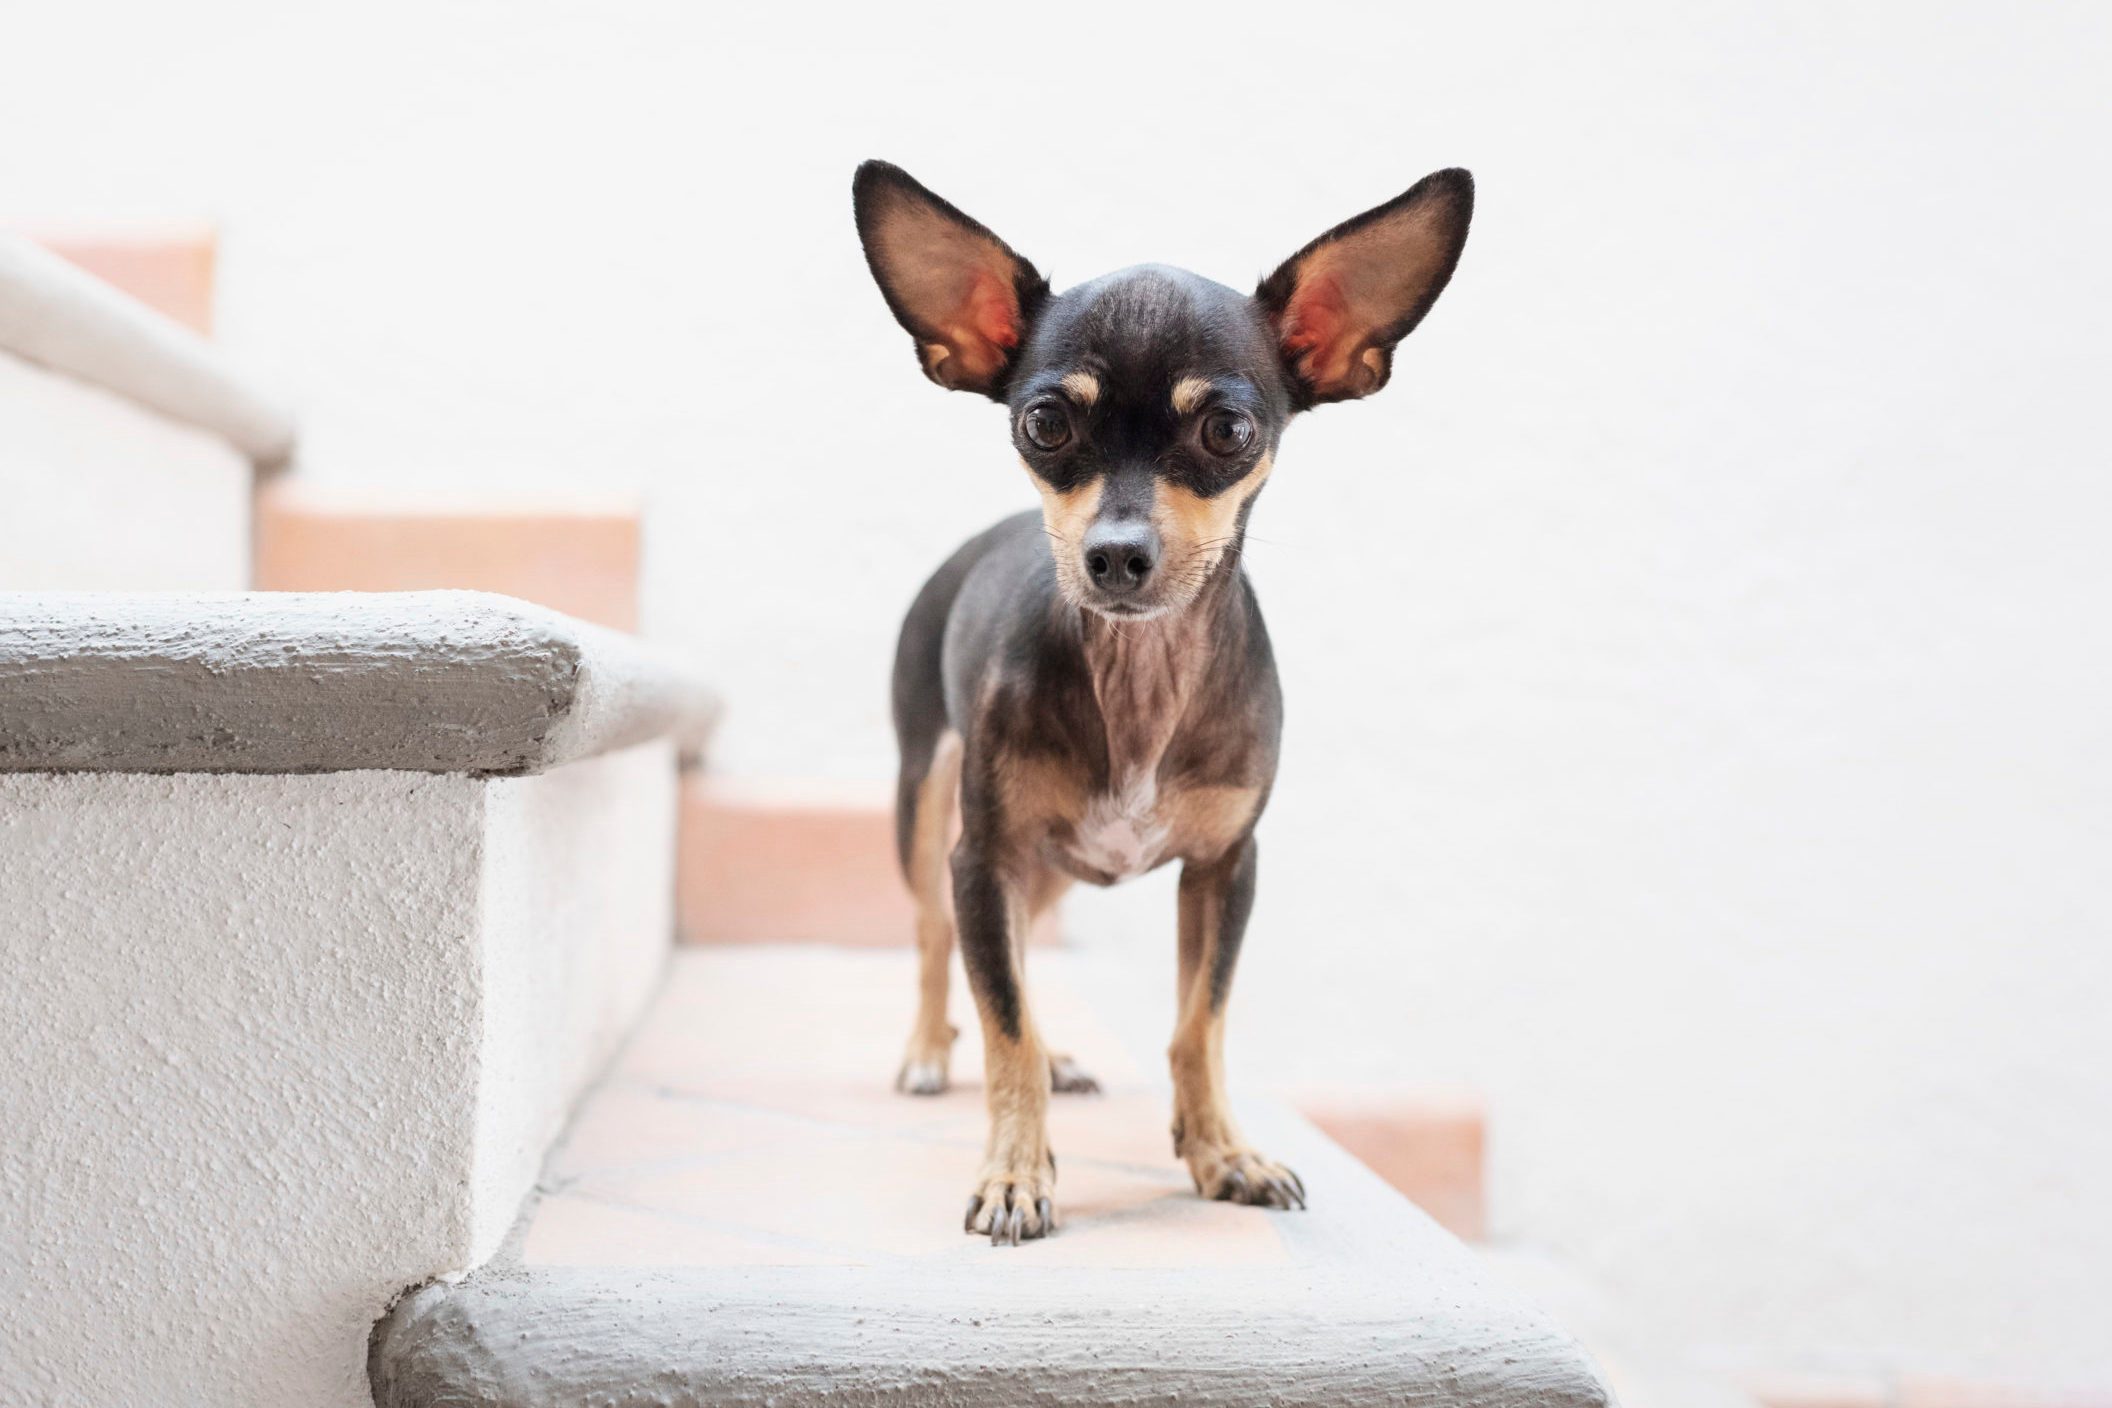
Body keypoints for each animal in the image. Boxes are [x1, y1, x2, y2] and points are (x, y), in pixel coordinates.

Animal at [844, 159, 1469, 1249]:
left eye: (1229, 429)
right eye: (1045, 423)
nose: (1116, 554)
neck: (1140, 674)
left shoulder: (1225, 870)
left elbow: (1195, 1024)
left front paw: (1223, 1152)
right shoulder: (980, 858)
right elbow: (1002, 1021)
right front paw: (1015, 1172)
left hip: (1047, 865)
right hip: (928, 814)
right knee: (935, 941)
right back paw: (928, 1049)